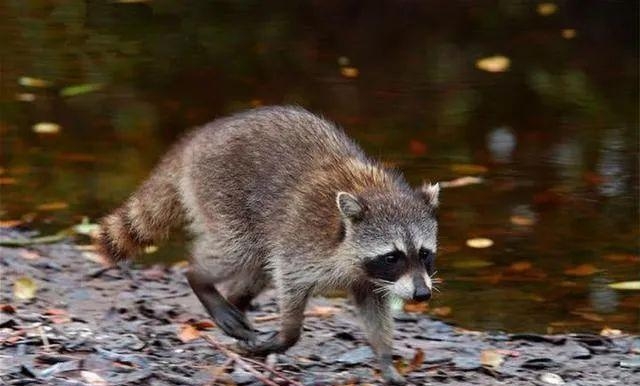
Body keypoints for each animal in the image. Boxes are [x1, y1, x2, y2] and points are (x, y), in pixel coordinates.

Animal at [99, 105, 440, 382]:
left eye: (424, 254)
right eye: (393, 256)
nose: (422, 294)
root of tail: (196, 140)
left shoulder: (370, 279)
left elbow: (374, 311)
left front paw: (385, 359)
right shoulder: (302, 241)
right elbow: (289, 282)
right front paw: (286, 335)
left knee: (257, 268)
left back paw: (233, 302)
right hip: (222, 195)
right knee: (235, 251)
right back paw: (200, 280)